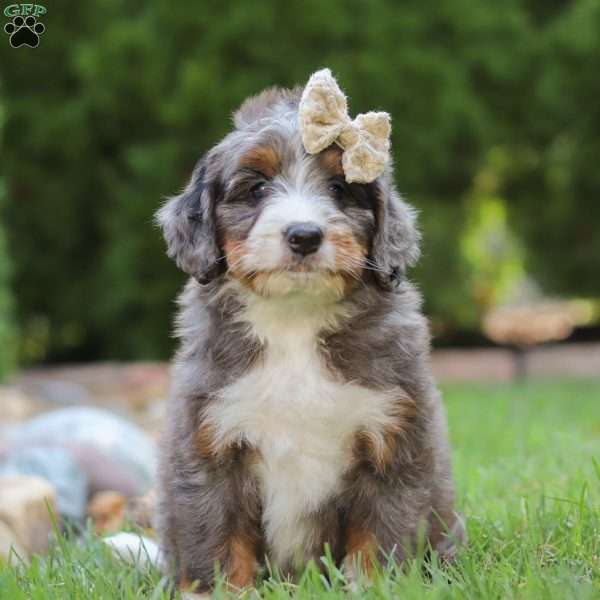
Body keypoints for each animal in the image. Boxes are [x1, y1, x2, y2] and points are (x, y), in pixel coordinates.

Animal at [155, 70, 464, 596]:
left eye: (340, 187)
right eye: (257, 188)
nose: (304, 235)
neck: (294, 320)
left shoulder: (394, 442)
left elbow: (379, 541)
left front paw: (372, 588)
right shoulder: (209, 446)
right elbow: (220, 547)